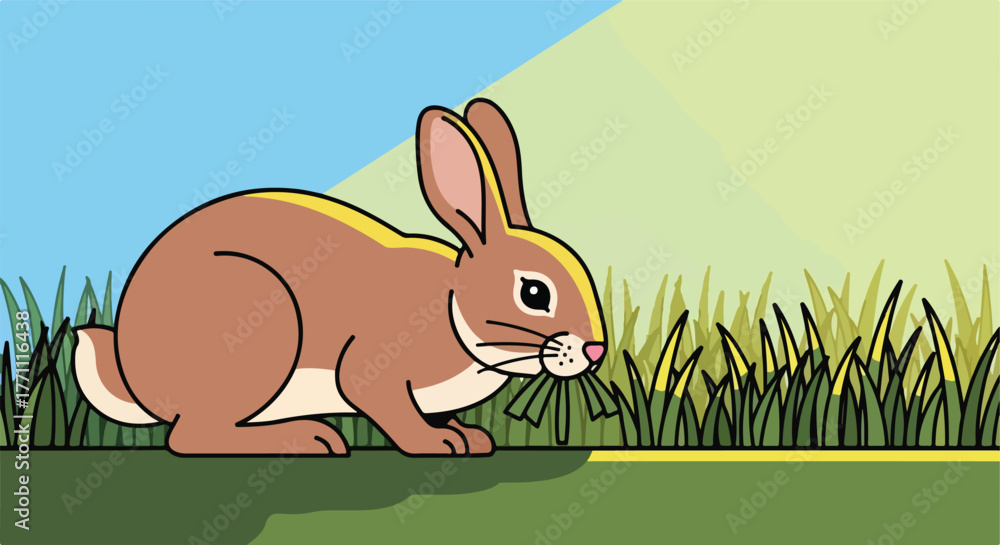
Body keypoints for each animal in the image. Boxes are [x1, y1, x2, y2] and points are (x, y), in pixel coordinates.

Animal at [71, 99, 607, 456]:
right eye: (533, 292)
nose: (596, 351)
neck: (454, 308)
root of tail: (134, 374)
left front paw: (470, 438)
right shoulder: (373, 371)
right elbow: (387, 407)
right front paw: (436, 443)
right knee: (191, 437)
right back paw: (308, 438)